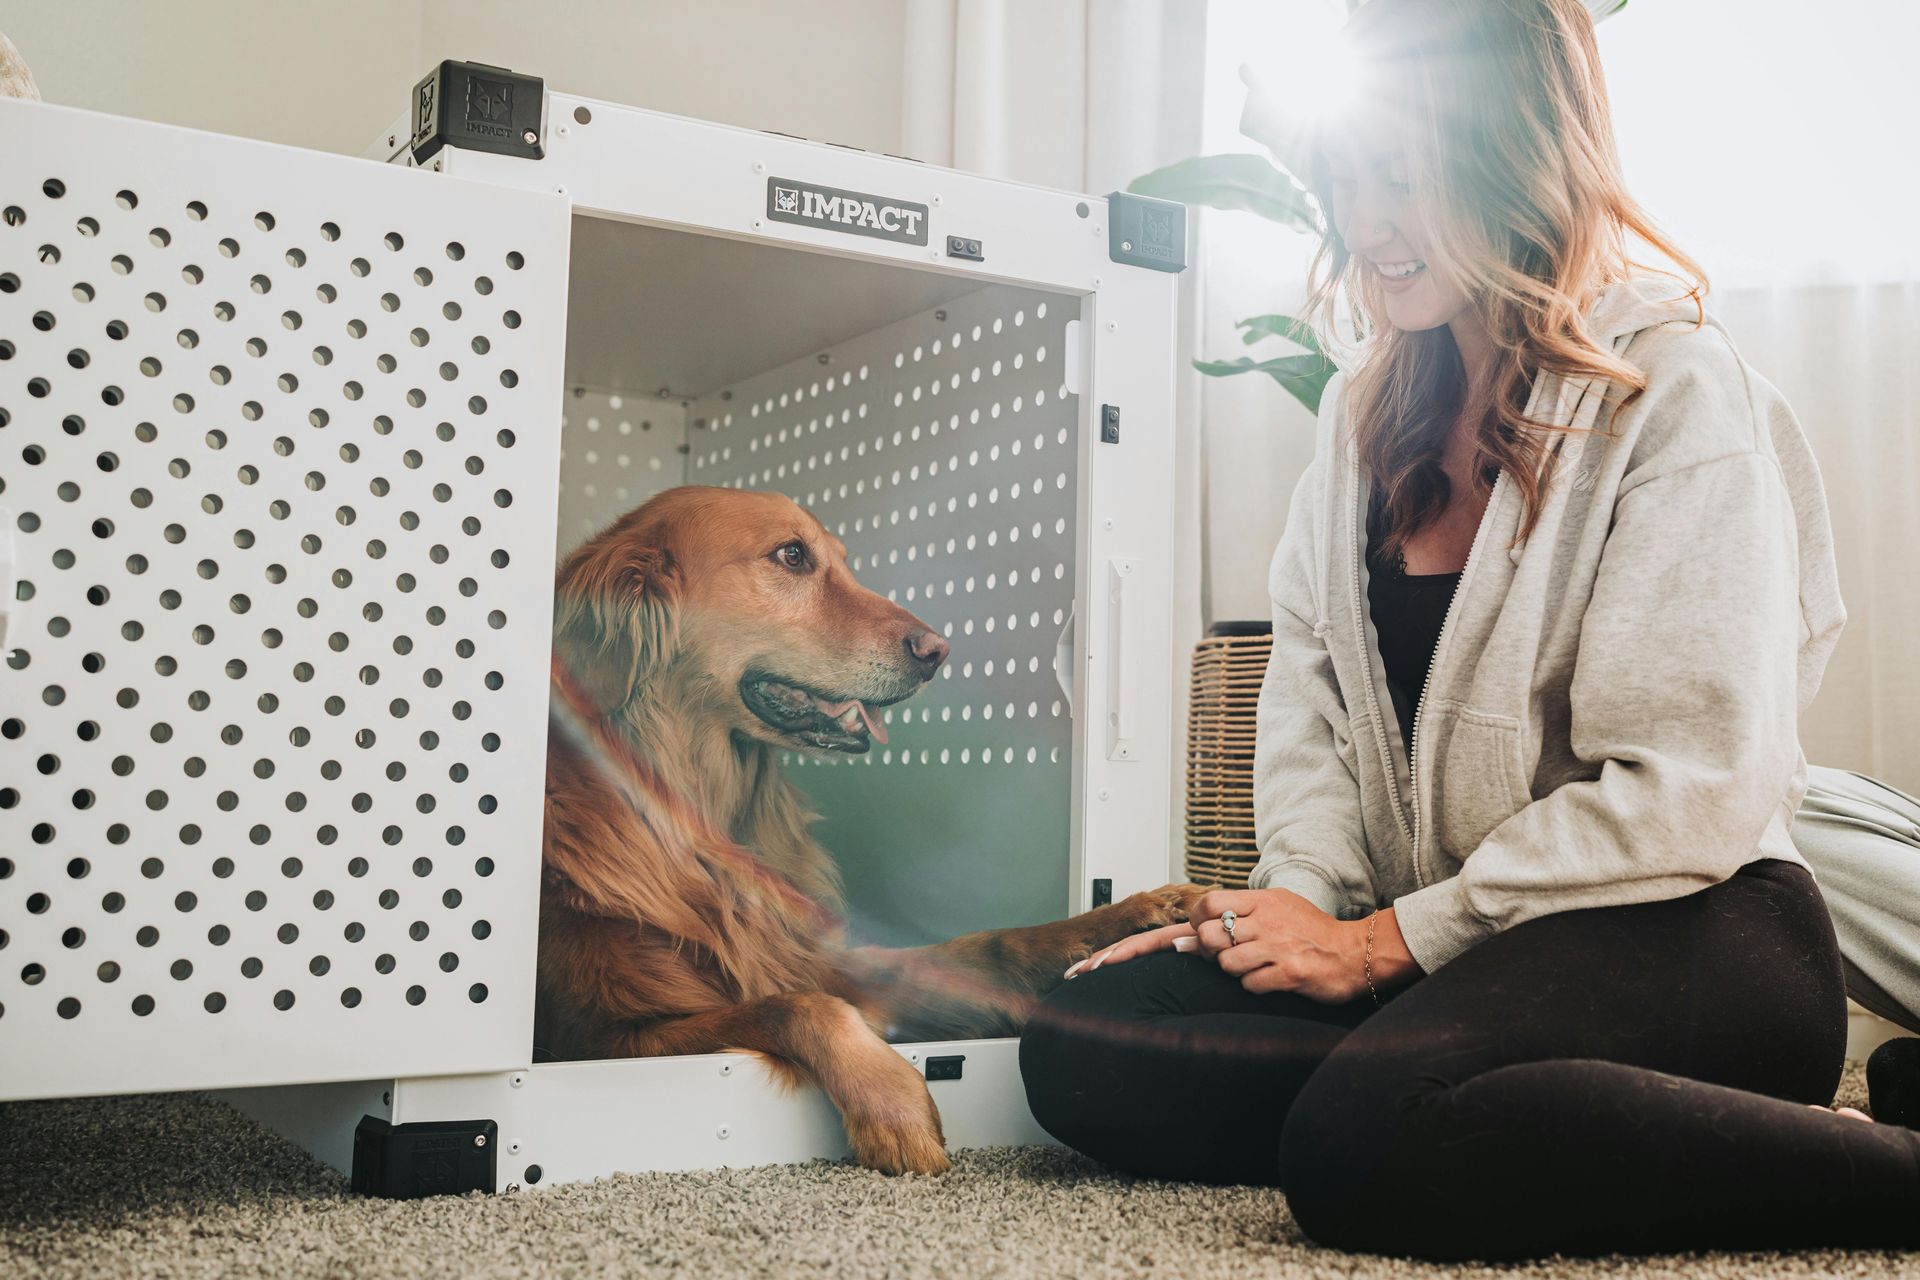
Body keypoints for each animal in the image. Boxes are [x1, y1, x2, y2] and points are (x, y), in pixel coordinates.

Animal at [541, 485, 1198, 1174]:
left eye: (841, 559)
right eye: (792, 555)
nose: (938, 652)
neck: (707, 816)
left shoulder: (820, 957)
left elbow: (988, 946)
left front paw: (1137, 913)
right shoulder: (603, 1036)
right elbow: (797, 1007)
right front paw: (893, 1106)